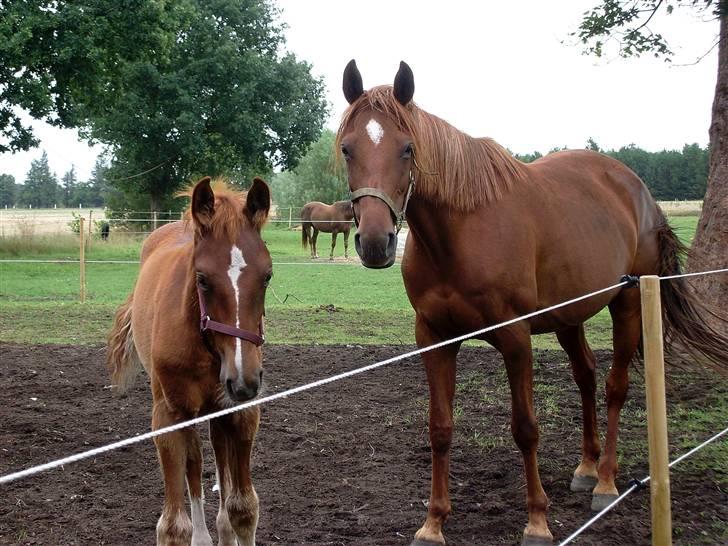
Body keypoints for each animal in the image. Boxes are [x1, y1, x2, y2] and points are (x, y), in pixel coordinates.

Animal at [109, 176, 276, 540]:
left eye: (268, 276)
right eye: (202, 278)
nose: (243, 381)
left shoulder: (242, 412)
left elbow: (243, 508)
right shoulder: (168, 417)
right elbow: (174, 526)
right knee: (195, 462)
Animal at [336, 60, 728, 544]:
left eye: (407, 148)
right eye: (348, 149)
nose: (376, 243)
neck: (459, 234)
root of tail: (640, 192)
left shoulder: (515, 337)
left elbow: (525, 428)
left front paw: (538, 521)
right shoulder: (434, 338)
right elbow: (440, 428)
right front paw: (433, 523)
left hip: (629, 303)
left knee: (615, 387)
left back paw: (605, 481)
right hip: (569, 318)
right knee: (586, 377)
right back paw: (586, 467)